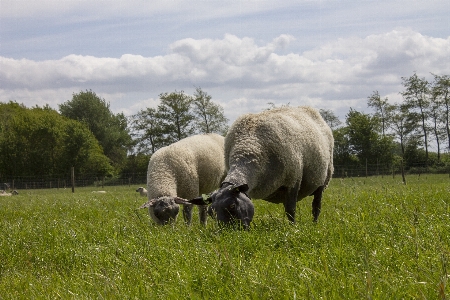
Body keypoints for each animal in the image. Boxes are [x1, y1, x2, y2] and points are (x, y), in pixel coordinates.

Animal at [178, 106, 332, 229]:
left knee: (316, 206)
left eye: (232, 206)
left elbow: (290, 210)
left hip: (323, 180)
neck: (249, 147)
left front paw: (293, 229)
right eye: (211, 213)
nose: (227, 235)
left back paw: (315, 224)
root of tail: (308, 108)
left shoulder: (293, 180)